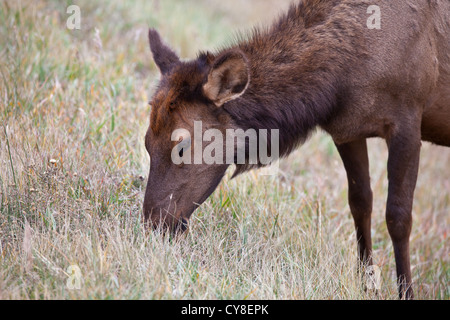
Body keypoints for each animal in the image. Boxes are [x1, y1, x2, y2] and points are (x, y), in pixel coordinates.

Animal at [144, 0, 450, 300]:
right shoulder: (348, 130)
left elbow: (398, 217)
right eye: (147, 142)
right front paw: (367, 286)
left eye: (182, 146)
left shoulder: (408, 120)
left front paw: (406, 292)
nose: (153, 225)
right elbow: (360, 204)